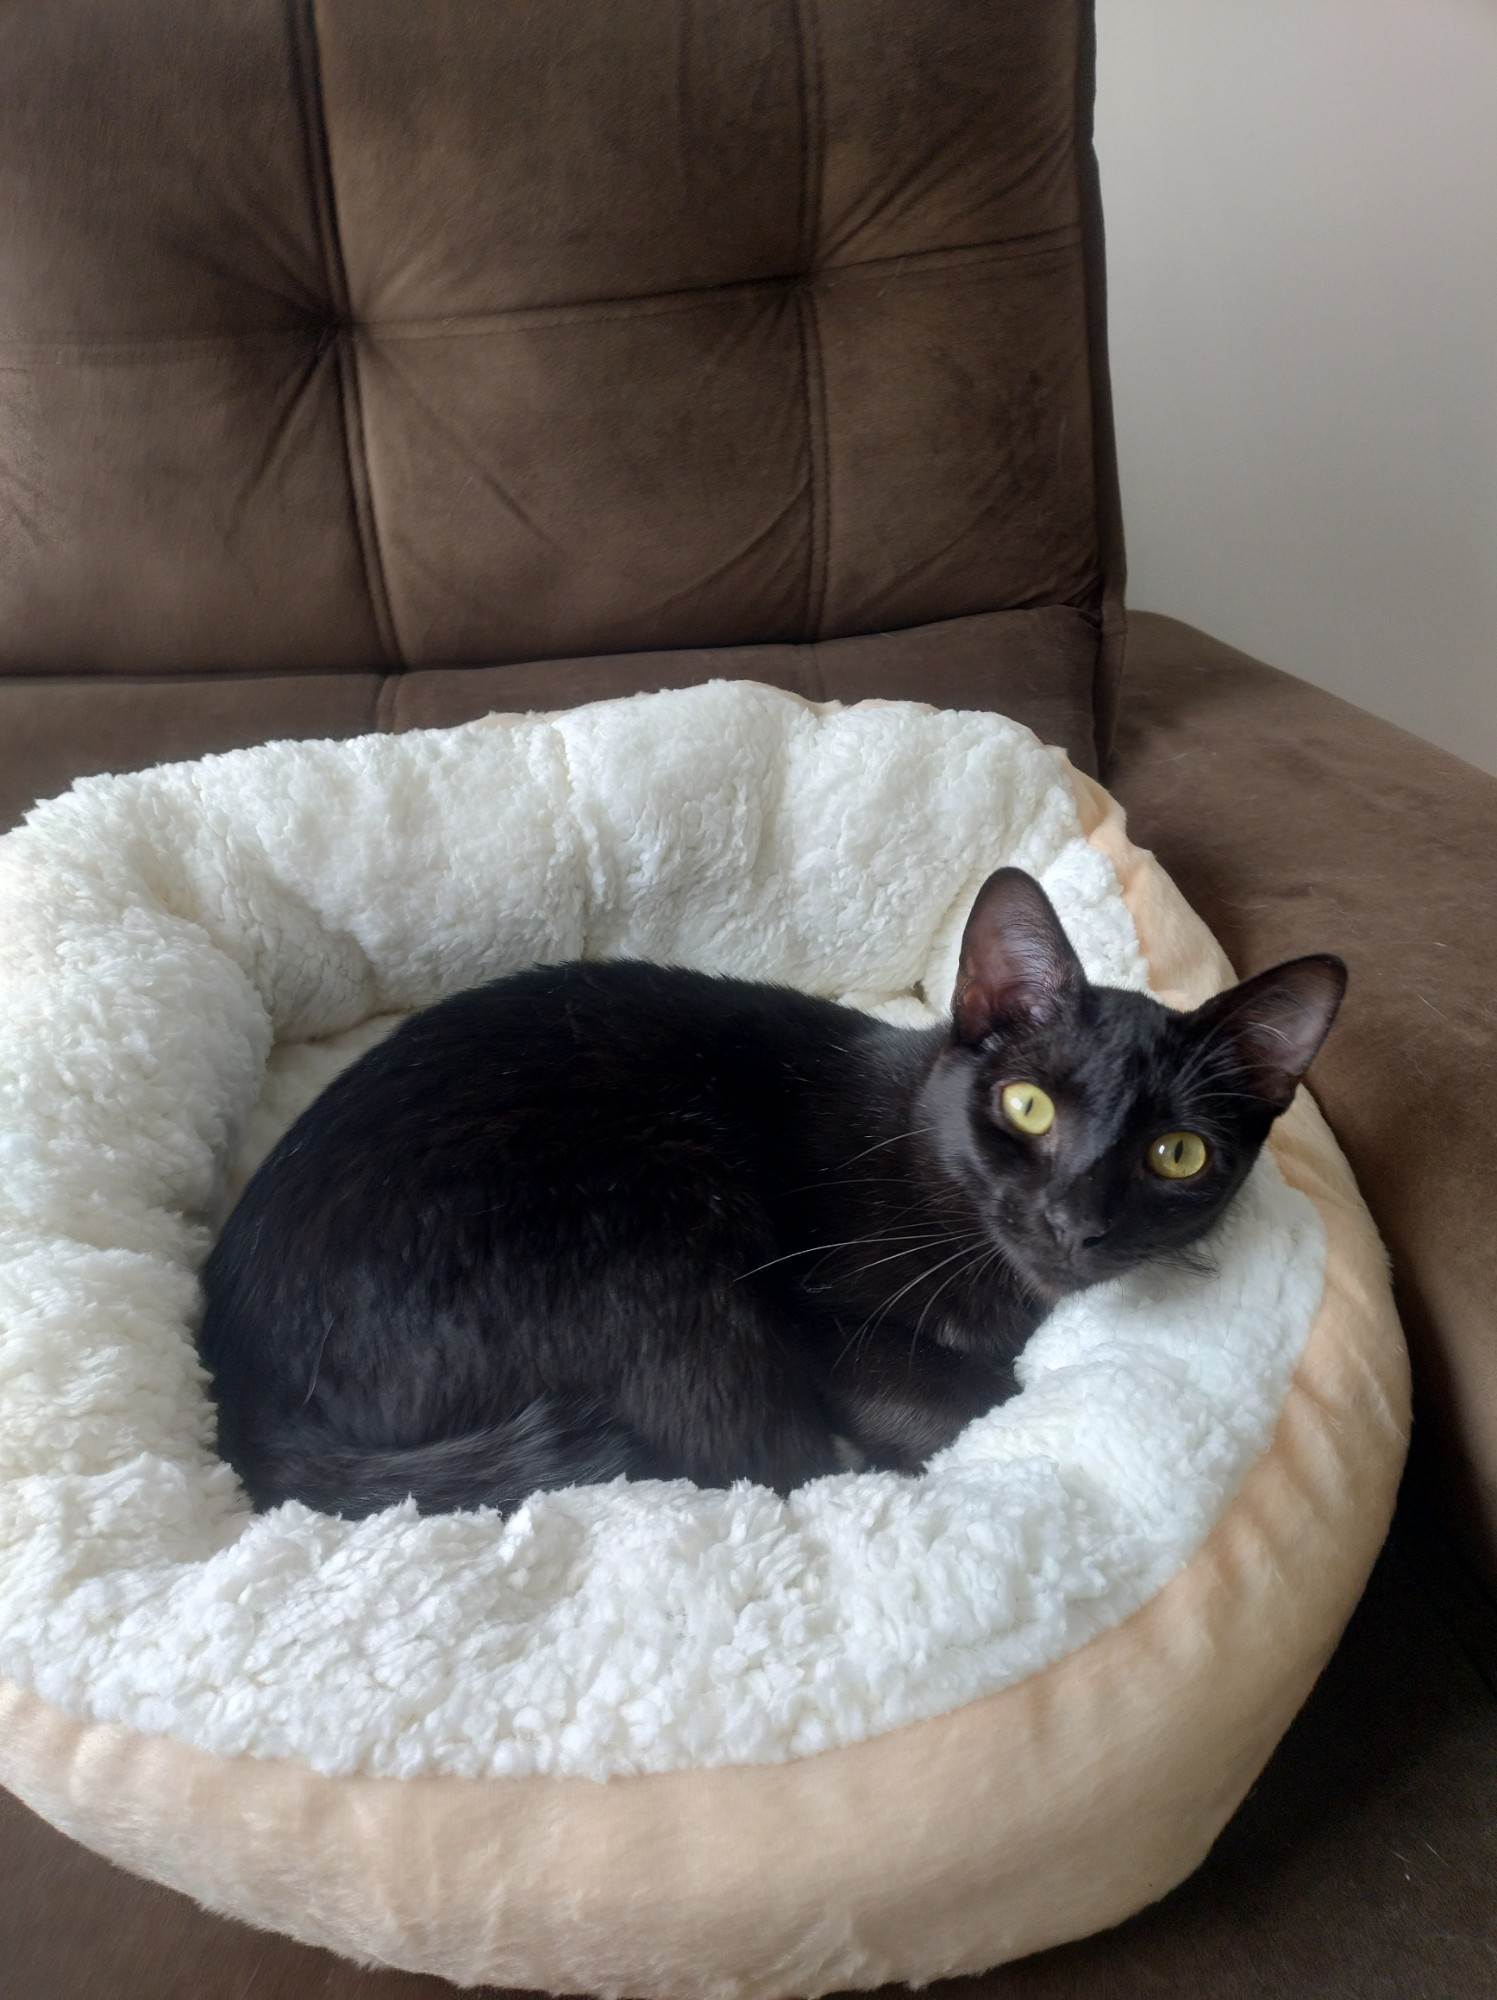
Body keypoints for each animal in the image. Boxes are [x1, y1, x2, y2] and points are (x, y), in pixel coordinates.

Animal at [198, 868, 1346, 1519]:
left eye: (1176, 1154)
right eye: (1026, 1106)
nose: (1077, 1220)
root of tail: (237, 1376)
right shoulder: (822, 1317)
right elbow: (970, 1400)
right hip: (665, 1244)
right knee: (762, 1465)